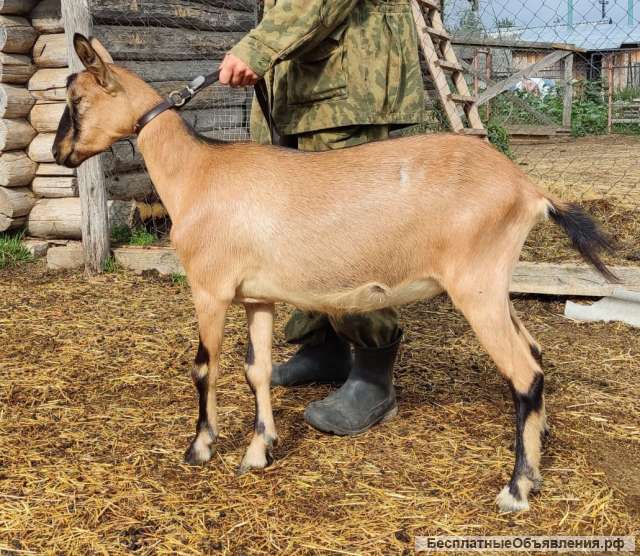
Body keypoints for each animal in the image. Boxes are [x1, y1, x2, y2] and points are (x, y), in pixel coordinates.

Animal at [53, 35, 616, 513]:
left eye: (76, 100)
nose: (59, 153)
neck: (197, 173)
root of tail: (530, 190)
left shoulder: (209, 289)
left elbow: (203, 368)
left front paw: (200, 448)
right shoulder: (257, 297)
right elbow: (256, 369)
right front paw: (259, 451)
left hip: (476, 285)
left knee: (523, 371)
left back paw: (517, 489)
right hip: (493, 284)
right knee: (536, 354)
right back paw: (539, 455)